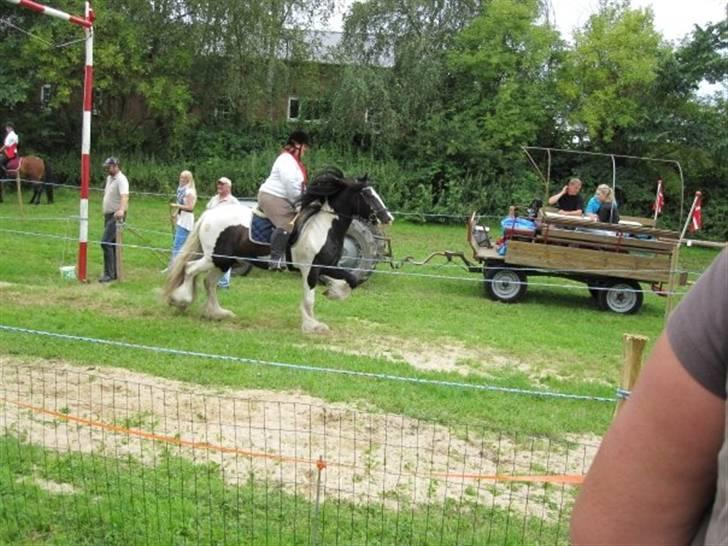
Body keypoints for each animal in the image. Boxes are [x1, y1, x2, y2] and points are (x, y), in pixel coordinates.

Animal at [164, 168, 392, 334]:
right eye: (367, 194)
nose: (388, 217)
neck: (323, 227)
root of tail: (209, 215)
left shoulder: (326, 266)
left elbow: (351, 279)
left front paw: (333, 291)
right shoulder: (310, 270)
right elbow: (309, 299)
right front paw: (312, 326)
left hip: (224, 261)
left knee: (208, 282)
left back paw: (217, 313)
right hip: (215, 257)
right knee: (190, 268)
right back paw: (181, 301)